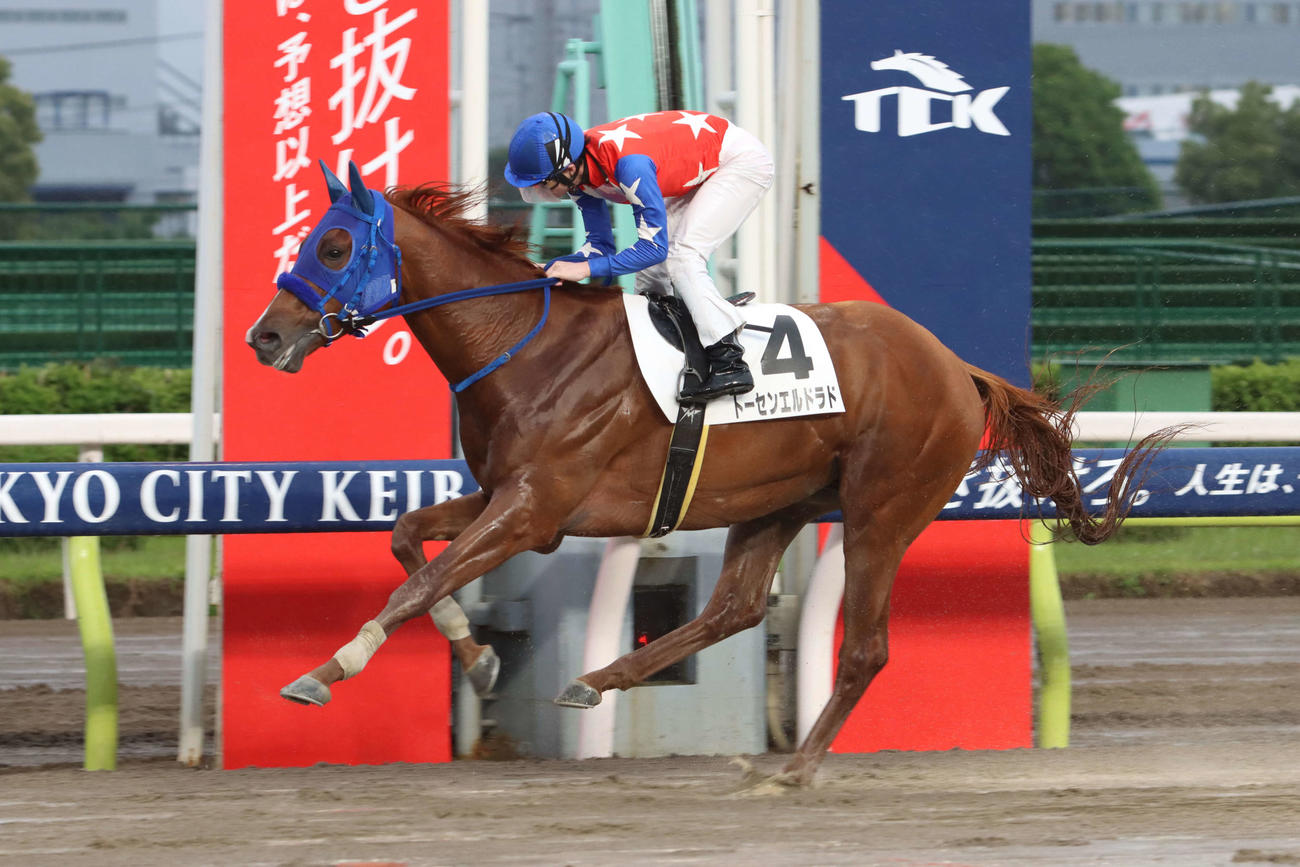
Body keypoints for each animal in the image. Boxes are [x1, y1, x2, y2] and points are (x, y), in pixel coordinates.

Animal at [246, 163, 1173, 787]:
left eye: (335, 244)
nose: (265, 336)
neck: (526, 343)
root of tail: (957, 367)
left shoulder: (535, 508)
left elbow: (419, 580)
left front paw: (325, 671)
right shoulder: (507, 494)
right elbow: (410, 542)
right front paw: (476, 660)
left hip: (882, 510)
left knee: (863, 647)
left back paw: (796, 766)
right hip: (779, 501)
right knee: (734, 608)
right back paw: (597, 682)